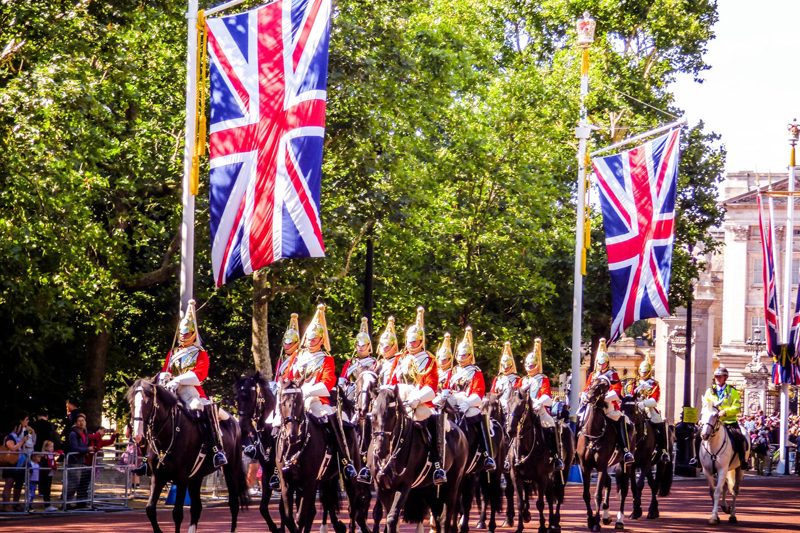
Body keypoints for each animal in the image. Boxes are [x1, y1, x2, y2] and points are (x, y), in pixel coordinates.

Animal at [127, 378, 247, 532]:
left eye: (148, 401)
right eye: (131, 402)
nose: (138, 437)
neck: (168, 435)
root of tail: (233, 421)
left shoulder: (182, 478)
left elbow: (177, 514)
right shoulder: (158, 476)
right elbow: (150, 509)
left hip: (231, 469)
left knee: (233, 504)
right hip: (196, 477)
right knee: (196, 508)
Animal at [233, 370, 280, 532]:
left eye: (251, 396)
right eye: (236, 398)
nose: (243, 428)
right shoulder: (267, 473)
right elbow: (263, 508)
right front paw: (274, 527)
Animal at [370, 382, 468, 532]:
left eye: (392, 415)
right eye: (374, 415)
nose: (381, 450)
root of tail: (460, 432)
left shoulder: (404, 485)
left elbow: (392, 518)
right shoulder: (381, 487)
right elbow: (389, 518)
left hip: (452, 484)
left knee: (445, 518)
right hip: (429, 488)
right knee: (438, 517)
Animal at [510, 386, 572, 532]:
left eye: (522, 405)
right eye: (508, 402)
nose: (510, 430)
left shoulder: (541, 477)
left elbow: (540, 503)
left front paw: (542, 526)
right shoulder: (516, 475)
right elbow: (520, 502)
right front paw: (520, 525)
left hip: (563, 472)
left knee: (558, 495)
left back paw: (555, 521)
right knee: (549, 497)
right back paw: (550, 523)